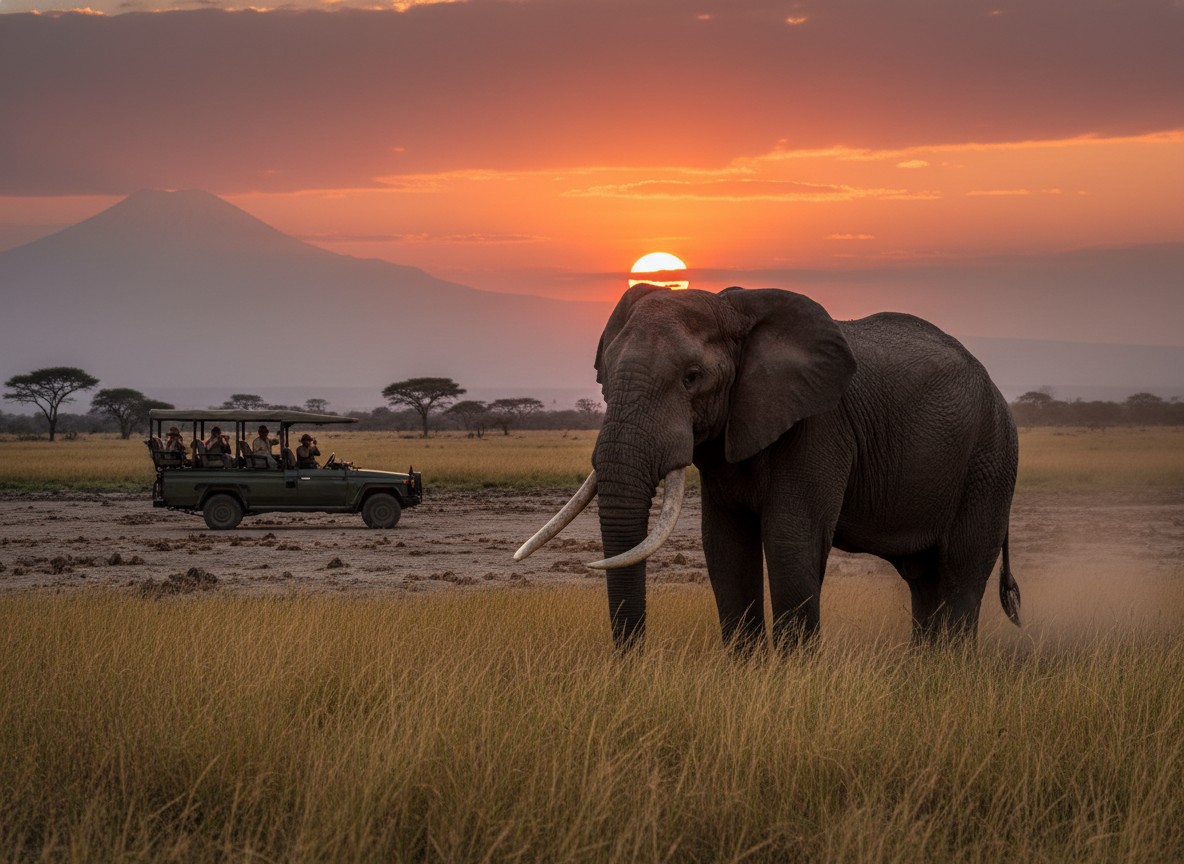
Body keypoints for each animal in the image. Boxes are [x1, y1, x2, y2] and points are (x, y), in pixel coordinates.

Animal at [516, 284, 1021, 651]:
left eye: (692, 378)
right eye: (603, 381)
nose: (633, 663)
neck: (733, 310)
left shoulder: (819, 427)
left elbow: (790, 540)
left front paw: (795, 679)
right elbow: (724, 544)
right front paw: (746, 670)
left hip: (990, 459)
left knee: (959, 571)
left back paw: (948, 669)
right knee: (923, 579)